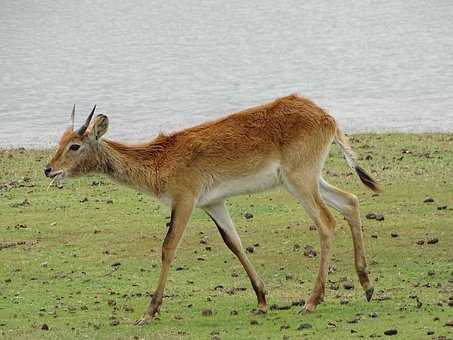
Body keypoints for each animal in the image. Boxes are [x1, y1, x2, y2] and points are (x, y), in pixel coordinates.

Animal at [45, 94, 378, 326]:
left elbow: (168, 247)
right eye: (59, 140)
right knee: (351, 201)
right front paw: (261, 300)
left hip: (299, 180)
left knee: (326, 222)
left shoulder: (185, 200)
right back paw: (367, 286)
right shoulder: (212, 203)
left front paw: (149, 312)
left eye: (75, 145)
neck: (159, 159)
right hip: (311, 178)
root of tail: (326, 116)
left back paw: (312, 300)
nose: (48, 169)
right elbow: (234, 243)